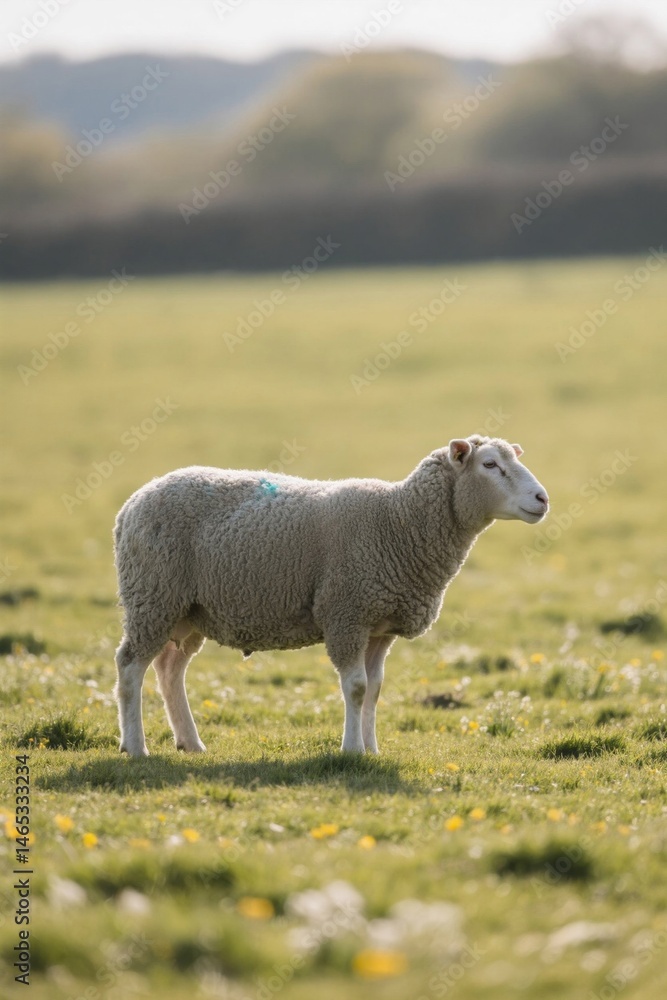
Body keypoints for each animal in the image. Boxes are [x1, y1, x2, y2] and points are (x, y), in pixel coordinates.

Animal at [113, 435, 548, 756]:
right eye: (489, 465)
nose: (543, 499)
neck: (399, 522)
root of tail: (133, 502)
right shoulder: (346, 614)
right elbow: (355, 687)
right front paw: (352, 750)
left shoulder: (379, 627)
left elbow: (374, 689)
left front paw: (372, 750)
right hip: (153, 595)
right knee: (130, 665)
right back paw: (135, 746)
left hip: (187, 609)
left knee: (170, 669)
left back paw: (191, 743)